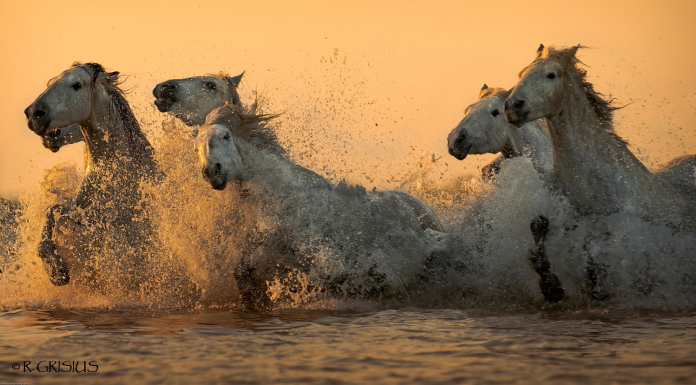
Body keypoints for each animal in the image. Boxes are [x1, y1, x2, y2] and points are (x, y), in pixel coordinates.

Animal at [24, 63, 159, 286]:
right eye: (51, 82)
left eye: (77, 85)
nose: (33, 114)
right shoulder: (85, 214)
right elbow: (52, 210)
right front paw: (56, 270)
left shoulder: (107, 219)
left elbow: (56, 210)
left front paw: (57, 270)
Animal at [196, 103, 444, 308]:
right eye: (197, 147)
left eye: (226, 136)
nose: (212, 171)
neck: (282, 197)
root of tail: (427, 212)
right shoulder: (262, 240)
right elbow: (241, 272)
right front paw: (257, 302)